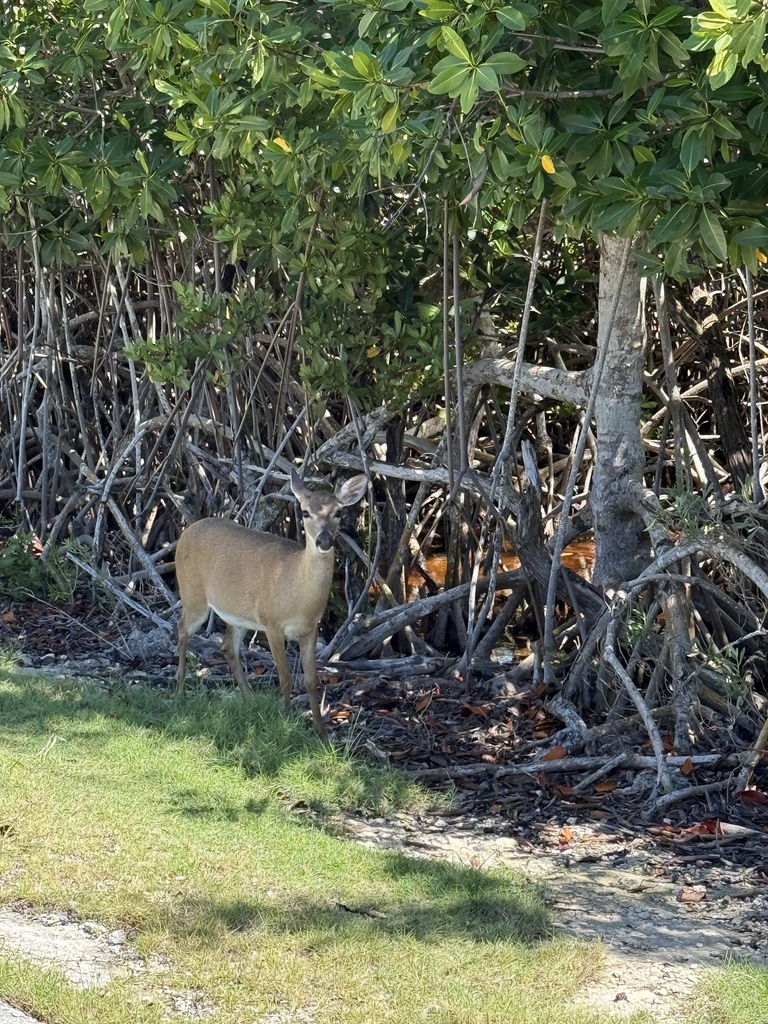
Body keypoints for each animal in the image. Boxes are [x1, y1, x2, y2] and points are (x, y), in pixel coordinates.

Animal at [174, 470, 368, 738]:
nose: (324, 541)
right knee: (182, 628)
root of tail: (187, 530)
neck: (297, 594)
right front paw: (284, 721)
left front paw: (321, 732)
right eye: (305, 512)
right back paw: (180, 692)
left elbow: (311, 680)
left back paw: (249, 700)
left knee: (227, 646)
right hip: (193, 594)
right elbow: (285, 675)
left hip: (238, 614)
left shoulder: (311, 628)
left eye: (338, 512)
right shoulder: (272, 623)